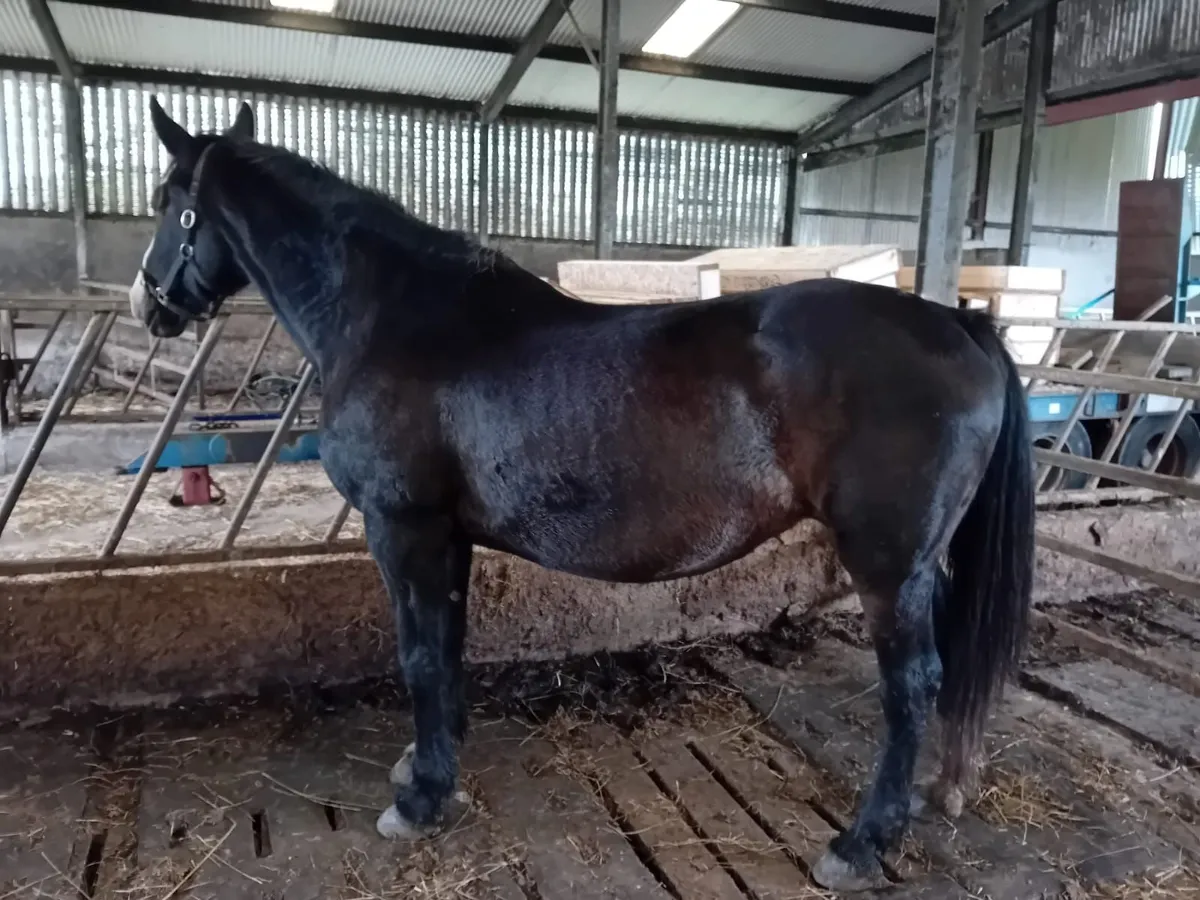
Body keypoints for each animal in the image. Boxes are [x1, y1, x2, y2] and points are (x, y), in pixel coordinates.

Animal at [129, 97, 1034, 893]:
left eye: (169, 201)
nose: (149, 301)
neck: (393, 318)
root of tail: (961, 325)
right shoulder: (448, 536)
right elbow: (446, 646)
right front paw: (432, 763)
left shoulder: (404, 527)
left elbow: (418, 654)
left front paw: (420, 798)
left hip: (888, 565)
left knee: (911, 685)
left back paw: (861, 843)